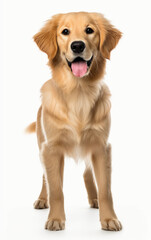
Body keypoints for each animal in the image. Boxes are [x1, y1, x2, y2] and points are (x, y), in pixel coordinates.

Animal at [26, 11, 121, 232]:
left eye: (89, 30)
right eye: (65, 32)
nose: (77, 46)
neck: (78, 93)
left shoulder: (101, 147)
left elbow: (106, 190)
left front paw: (109, 219)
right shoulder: (51, 149)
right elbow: (56, 190)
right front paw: (55, 219)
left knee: (87, 172)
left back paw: (94, 199)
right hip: (42, 146)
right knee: (46, 178)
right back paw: (42, 200)